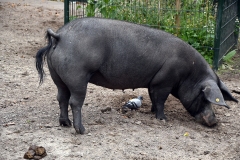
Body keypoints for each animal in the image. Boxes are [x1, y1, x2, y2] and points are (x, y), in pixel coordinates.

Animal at [36, 17, 238, 134]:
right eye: (204, 97)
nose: (214, 121)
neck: (189, 73)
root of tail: (60, 36)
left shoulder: (153, 83)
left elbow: (153, 98)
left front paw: (152, 113)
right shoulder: (164, 81)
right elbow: (161, 100)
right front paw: (163, 119)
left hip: (57, 77)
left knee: (61, 97)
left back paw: (65, 124)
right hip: (78, 76)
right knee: (74, 101)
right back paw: (82, 130)